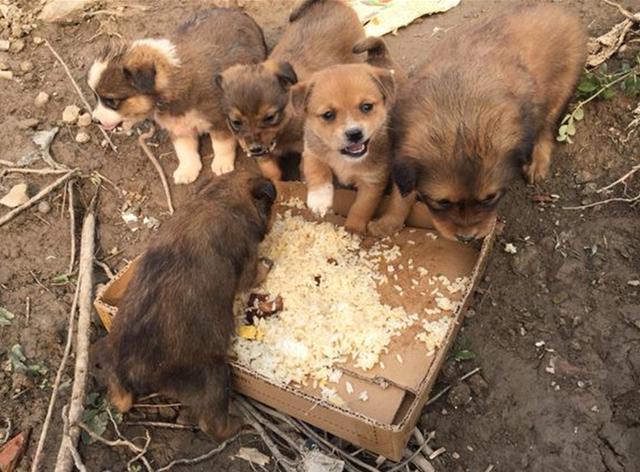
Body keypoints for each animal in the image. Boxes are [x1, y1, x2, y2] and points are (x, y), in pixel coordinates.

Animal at [87, 8, 264, 184]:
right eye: (96, 97)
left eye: (111, 101)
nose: (95, 120)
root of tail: (238, 11)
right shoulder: (178, 126)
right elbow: (184, 150)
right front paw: (187, 170)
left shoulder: (218, 120)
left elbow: (222, 144)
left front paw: (222, 164)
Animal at [215, 0, 364, 181]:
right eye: (236, 122)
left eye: (270, 117)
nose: (255, 149)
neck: (283, 129)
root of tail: (330, 2)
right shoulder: (265, 153)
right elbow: (271, 171)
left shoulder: (306, 147)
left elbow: (305, 168)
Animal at [370, 5, 584, 243]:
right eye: (442, 202)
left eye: (490, 198)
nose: (467, 238)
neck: (460, 110)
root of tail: (557, 8)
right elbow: (401, 195)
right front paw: (388, 223)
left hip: (563, 84)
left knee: (546, 125)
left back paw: (537, 161)